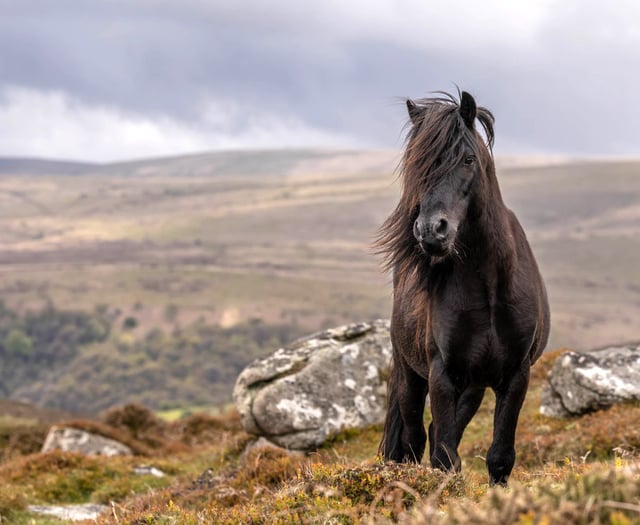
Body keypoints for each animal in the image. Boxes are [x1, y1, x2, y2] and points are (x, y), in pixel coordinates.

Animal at [376, 89, 552, 484]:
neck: (489, 289)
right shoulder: (442, 373)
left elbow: (499, 457)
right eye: (416, 164)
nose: (431, 230)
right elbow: (444, 457)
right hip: (411, 375)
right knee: (414, 439)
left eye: (468, 159)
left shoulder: (515, 375)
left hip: (473, 387)